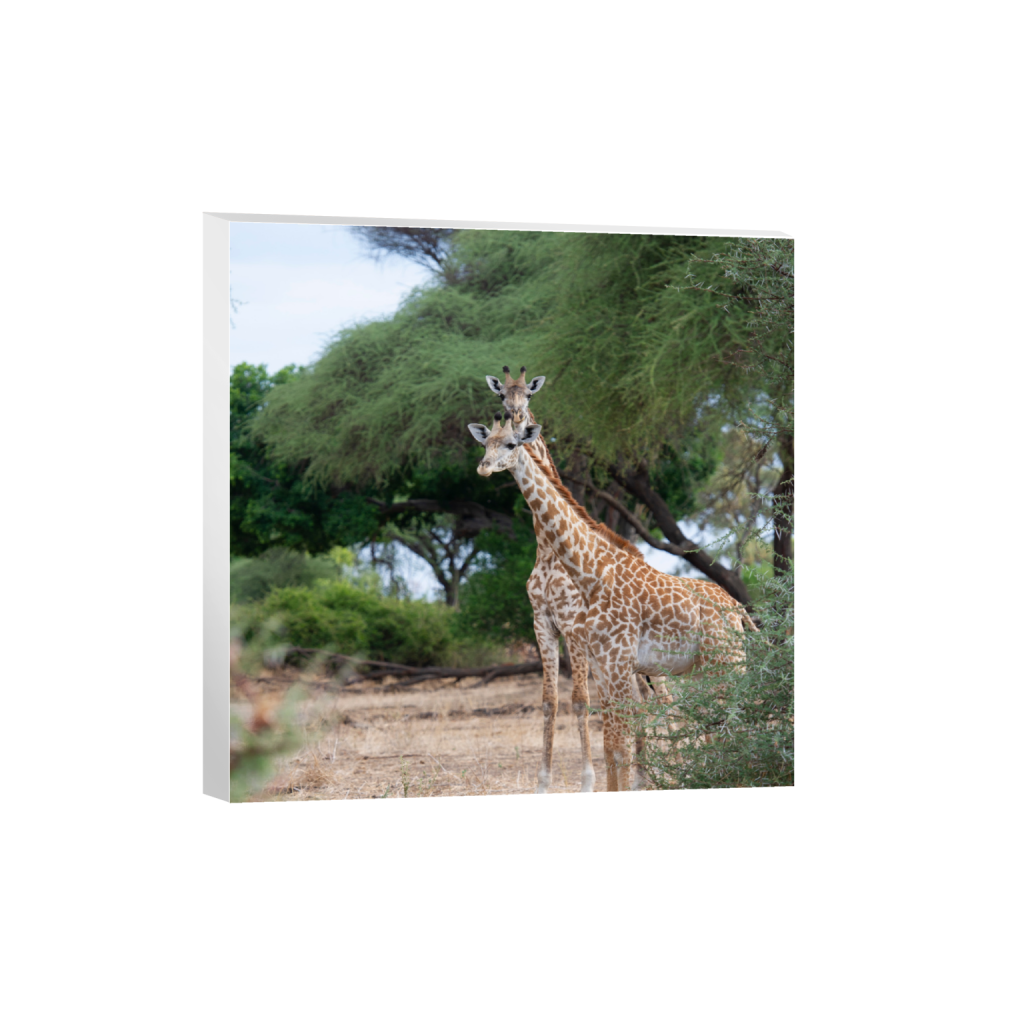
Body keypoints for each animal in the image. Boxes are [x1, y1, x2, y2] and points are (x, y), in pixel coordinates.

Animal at [467, 414, 754, 792]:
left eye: (512, 444)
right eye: (485, 444)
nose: (484, 468)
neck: (590, 573)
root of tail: (738, 609)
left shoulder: (616, 662)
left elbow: (620, 747)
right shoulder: (602, 665)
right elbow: (611, 747)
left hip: (728, 663)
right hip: (704, 668)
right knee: (715, 724)